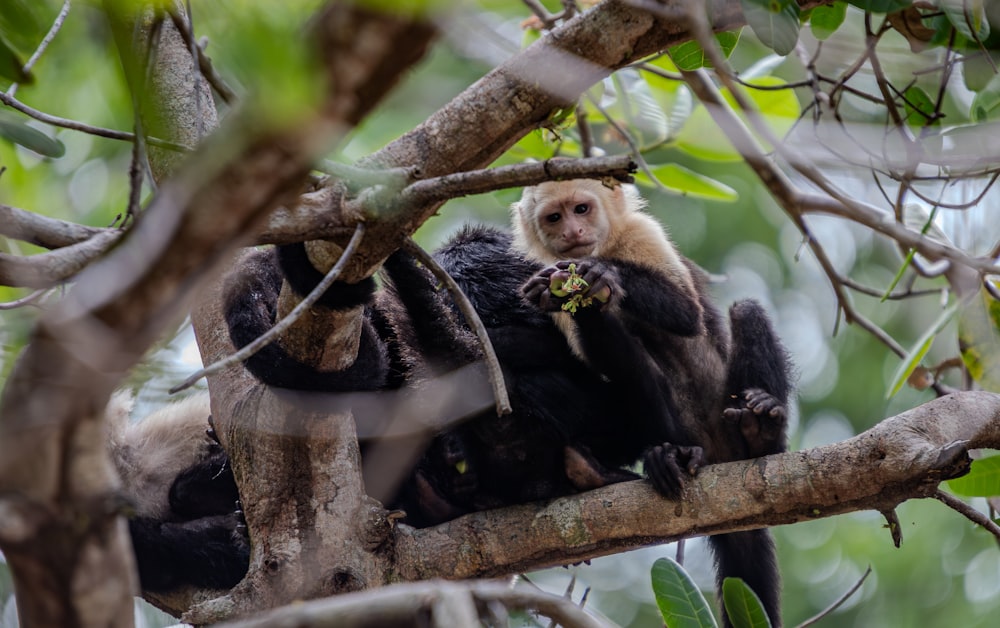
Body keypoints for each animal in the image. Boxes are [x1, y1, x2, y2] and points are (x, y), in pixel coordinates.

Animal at [516, 177, 788, 628]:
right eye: (554, 217)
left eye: (581, 209)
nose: (572, 232)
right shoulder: (535, 272)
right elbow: (606, 358)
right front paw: (573, 295)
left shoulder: (643, 233)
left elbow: (686, 313)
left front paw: (604, 275)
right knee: (637, 368)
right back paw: (667, 454)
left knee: (744, 311)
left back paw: (762, 435)